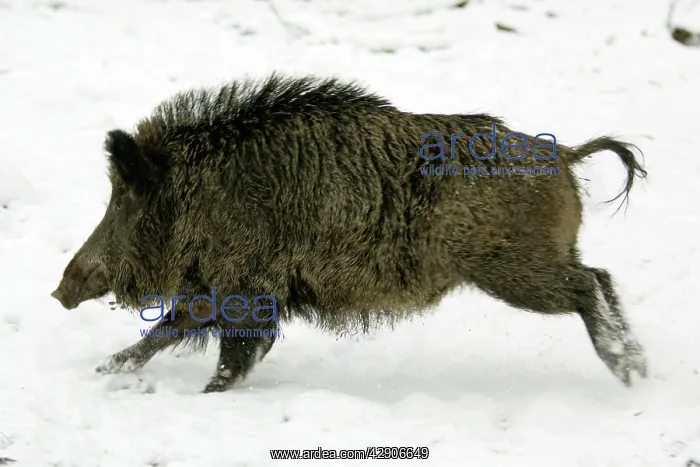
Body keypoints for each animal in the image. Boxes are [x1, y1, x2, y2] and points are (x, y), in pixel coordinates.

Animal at [52, 73, 648, 393]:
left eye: (122, 199)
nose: (60, 290)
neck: (201, 193)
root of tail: (566, 156)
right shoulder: (224, 287)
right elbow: (172, 330)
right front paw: (104, 370)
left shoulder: (246, 285)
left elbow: (225, 350)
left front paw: (206, 393)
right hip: (540, 257)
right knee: (602, 275)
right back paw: (639, 371)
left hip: (512, 267)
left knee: (587, 285)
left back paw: (625, 370)